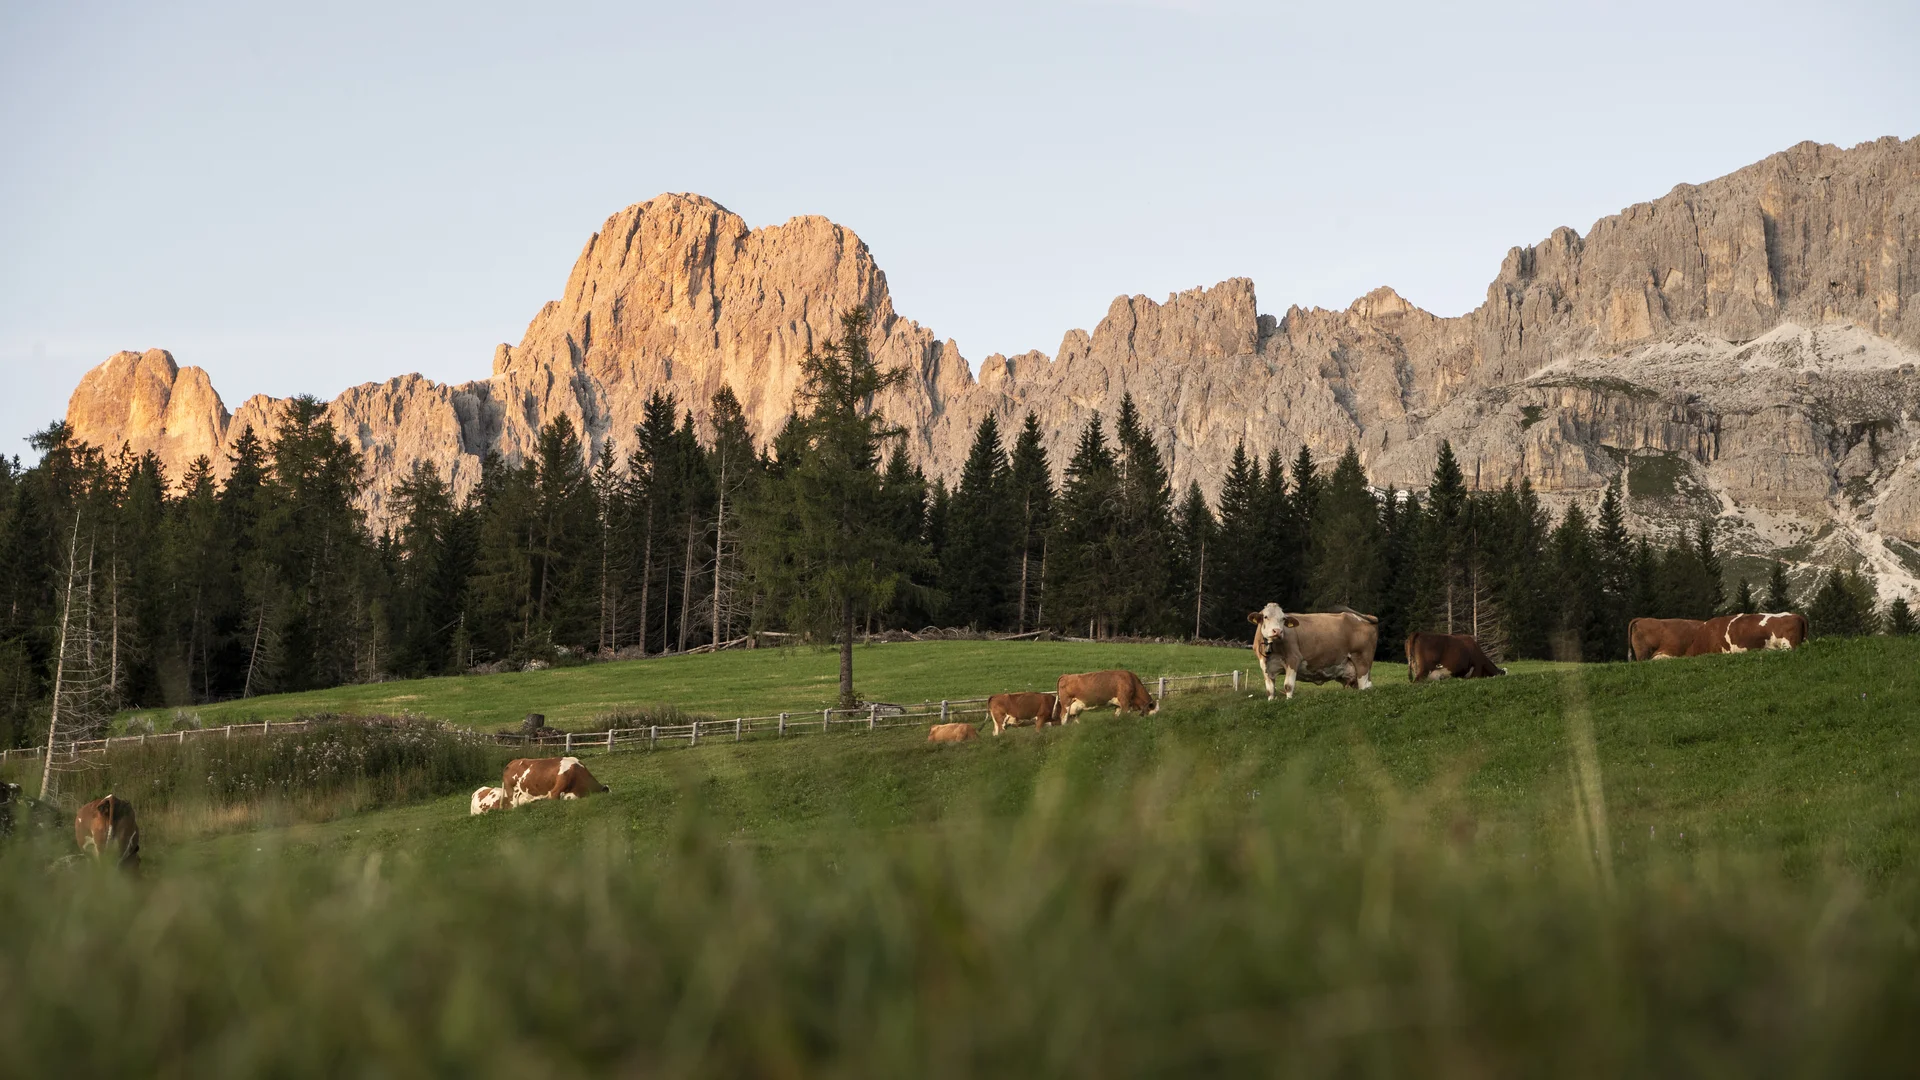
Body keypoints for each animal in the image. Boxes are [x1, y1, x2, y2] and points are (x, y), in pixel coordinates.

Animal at [1248, 604, 1379, 701]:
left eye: (1283, 619)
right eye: (1265, 617)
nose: (1277, 631)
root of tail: (1362, 616)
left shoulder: (1293, 659)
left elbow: (1288, 686)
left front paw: (1289, 701)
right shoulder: (1265, 665)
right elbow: (1270, 690)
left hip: (1362, 661)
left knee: (1365, 685)